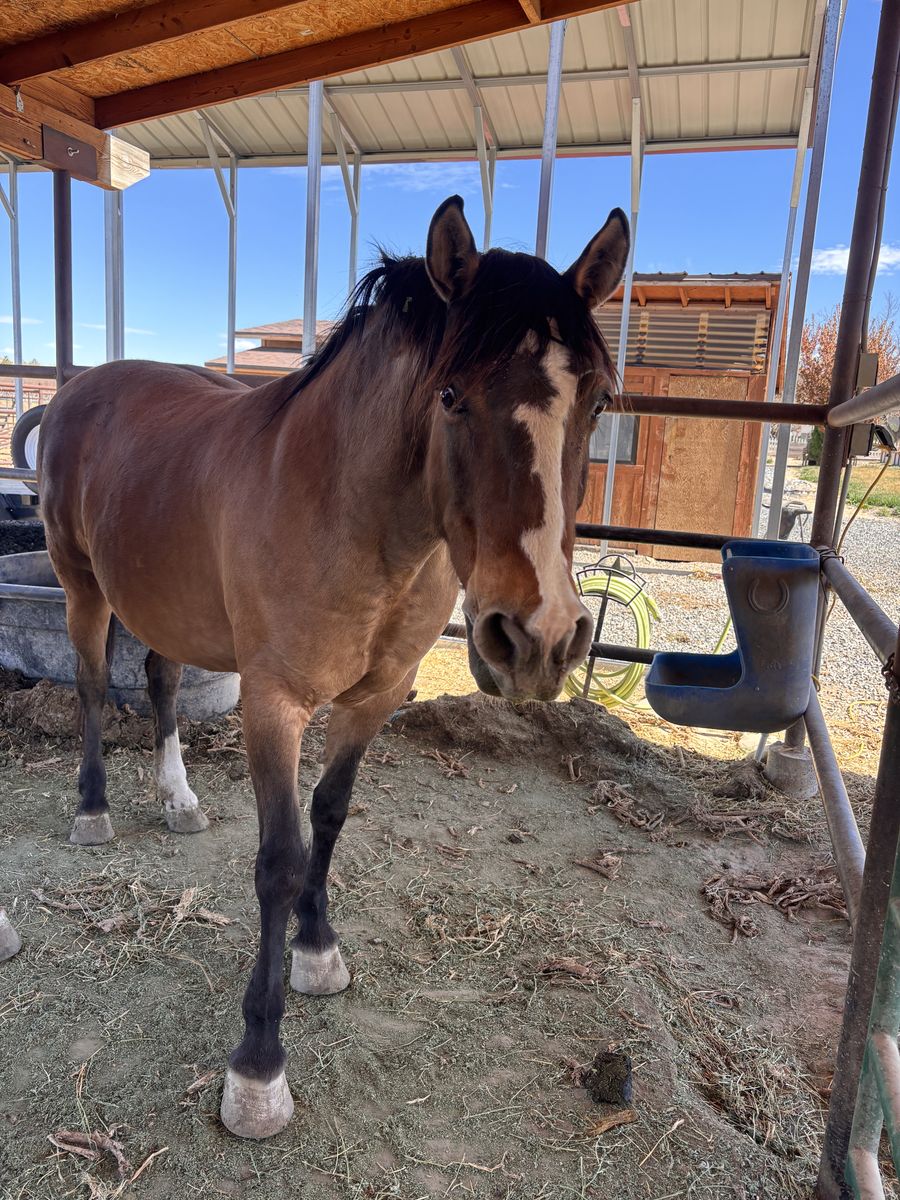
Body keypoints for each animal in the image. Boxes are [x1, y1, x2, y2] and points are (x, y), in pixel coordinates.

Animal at [37, 195, 628, 1139]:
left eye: (597, 400)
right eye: (452, 395)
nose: (537, 635)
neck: (353, 515)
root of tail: (79, 390)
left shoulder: (375, 700)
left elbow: (332, 815)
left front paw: (318, 949)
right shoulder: (273, 704)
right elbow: (280, 858)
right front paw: (257, 1065)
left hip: (165, 599)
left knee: (161, 684)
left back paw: (178, 800)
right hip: (81, 584)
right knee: (95, 687)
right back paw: (92, 809)